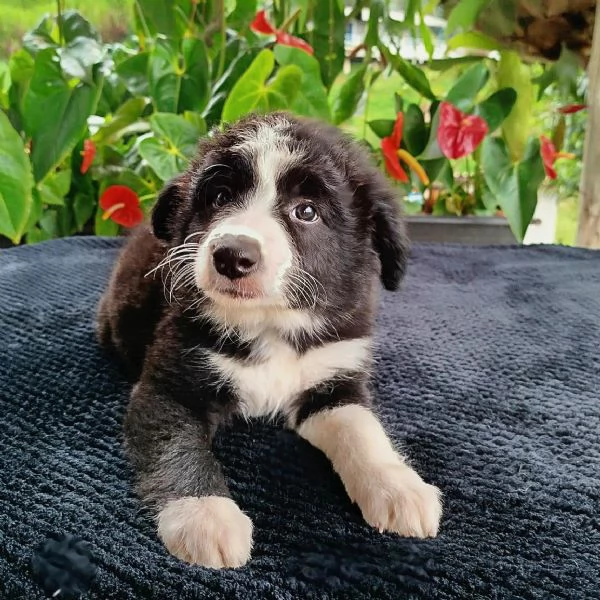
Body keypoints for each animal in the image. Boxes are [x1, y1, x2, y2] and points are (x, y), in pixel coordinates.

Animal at [97, 111, 440, 568]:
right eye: (220, 196)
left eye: (306, 211)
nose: (231, 255)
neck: (268, 325)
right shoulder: (168, 384)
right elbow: (177, 447)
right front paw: (204, 514)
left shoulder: (336, 378)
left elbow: (362, 429)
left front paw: (398, 486)